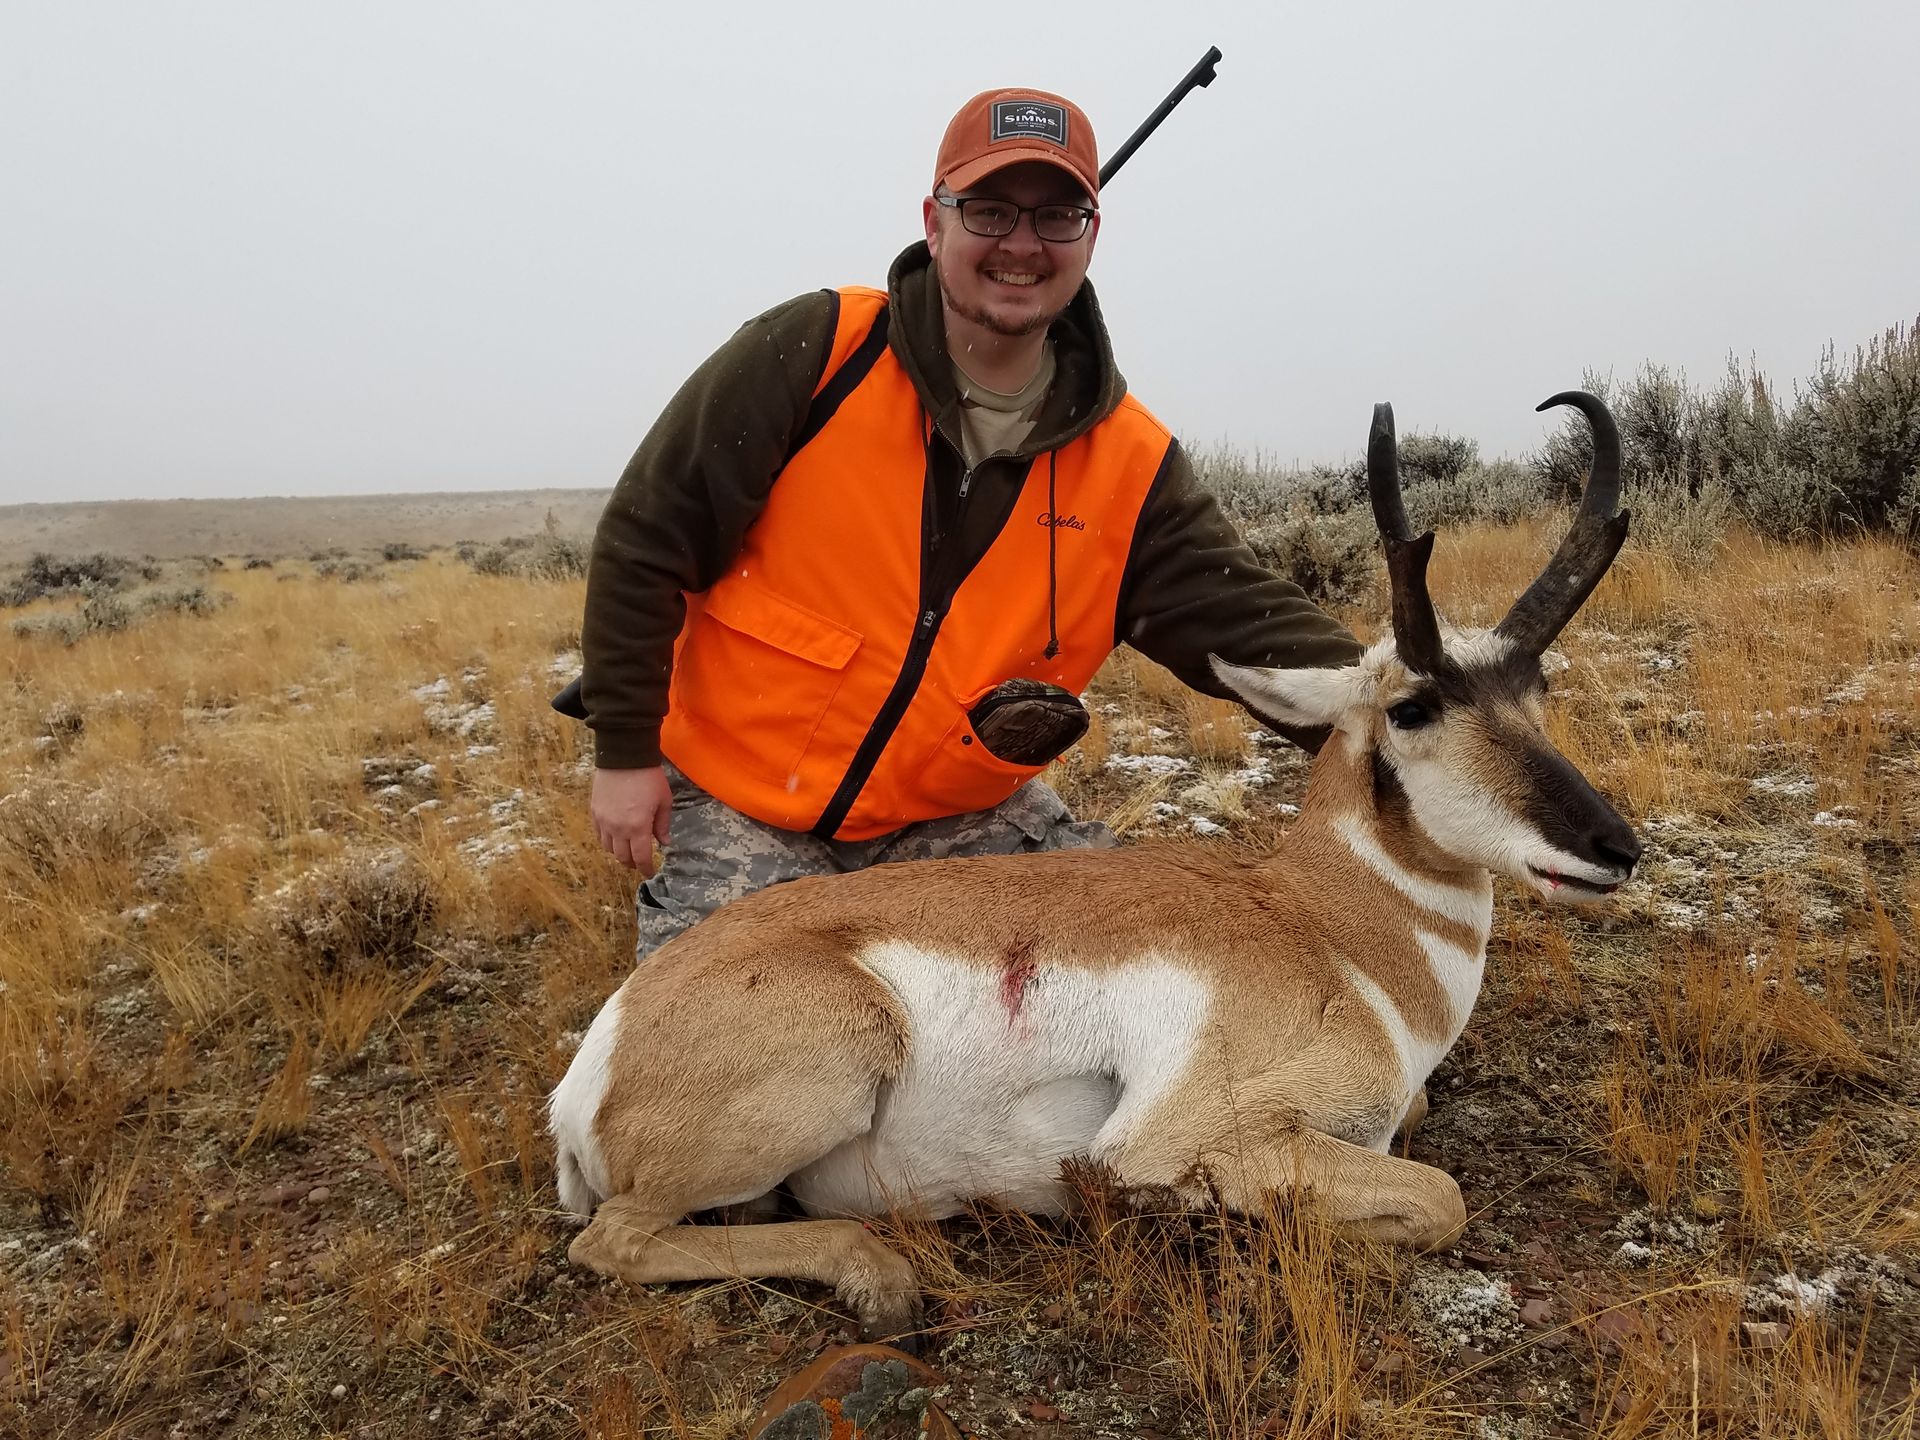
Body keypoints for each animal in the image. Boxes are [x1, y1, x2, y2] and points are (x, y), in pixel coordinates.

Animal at [549, 392, 1641, 1339]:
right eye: (1412, 708)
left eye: (1537, 692)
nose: (1617, 848)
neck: (1327, 927)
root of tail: (602, 1052)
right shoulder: (1186, 1138)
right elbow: (1441, 1197)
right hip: (838, 1065)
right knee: (613, 1241)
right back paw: (882, 1277)